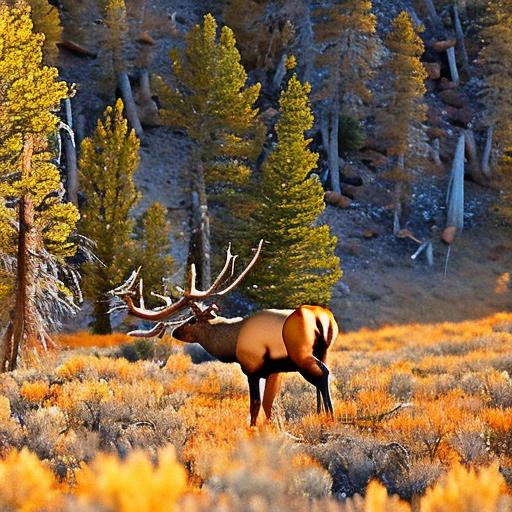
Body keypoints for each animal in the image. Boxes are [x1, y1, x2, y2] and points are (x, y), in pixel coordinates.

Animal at [114, 242, 342, 426]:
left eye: (192, 320)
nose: (176, 331)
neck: (231, 344)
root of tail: (321, 318)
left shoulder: (252, 368)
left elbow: (255, 405)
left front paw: (252, 429)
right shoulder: (273, 371)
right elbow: (268, 404)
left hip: (300, 353)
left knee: (322, 374)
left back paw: (331, 416)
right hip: (323, 350)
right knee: (322, 374)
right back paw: (321, 413)